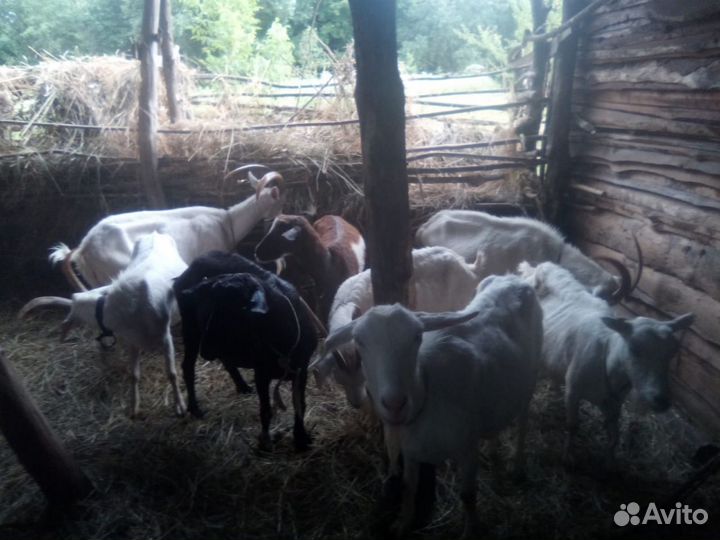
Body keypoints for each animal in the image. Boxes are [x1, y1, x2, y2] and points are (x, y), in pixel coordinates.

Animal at [20, 232, 187, 417]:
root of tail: (154, 233)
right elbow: (134, 375)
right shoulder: (133, 341)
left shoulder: (165, 336)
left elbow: (171, 373)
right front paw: (134, 406)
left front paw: (180, 406)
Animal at [173, 251, 317, 451]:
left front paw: (301, 439)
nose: (206, 351)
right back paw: (195, 408)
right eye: (209, 307)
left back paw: (241, 385)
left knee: (226, 360)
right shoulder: (261, 373)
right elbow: (265, 410)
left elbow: (299, 405)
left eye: (230, 310)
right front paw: (265, 442)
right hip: (191, 330)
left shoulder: (301, 370)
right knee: (187, 367)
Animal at [325, 274, 543, 538]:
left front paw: (470, 531)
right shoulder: (410, 452)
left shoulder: (467, 447)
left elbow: (468, 495)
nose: (395, 404)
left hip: (530, 379)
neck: (426, 397)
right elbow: (408, 487)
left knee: (523, 422)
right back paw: (493, 450)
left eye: (417, 336)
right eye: (359, 341)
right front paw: (403, 524)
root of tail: (512, 279)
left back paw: (518, 466)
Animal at [518, 261, 695, 464]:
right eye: (633, 348)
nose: (662, 400)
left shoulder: (614, 403)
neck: (607, 355)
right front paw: (568, 455)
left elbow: (614, 437)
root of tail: (538, 268)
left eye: (672, 353)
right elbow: (572, 425)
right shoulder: (573, 391)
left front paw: (609, 460)